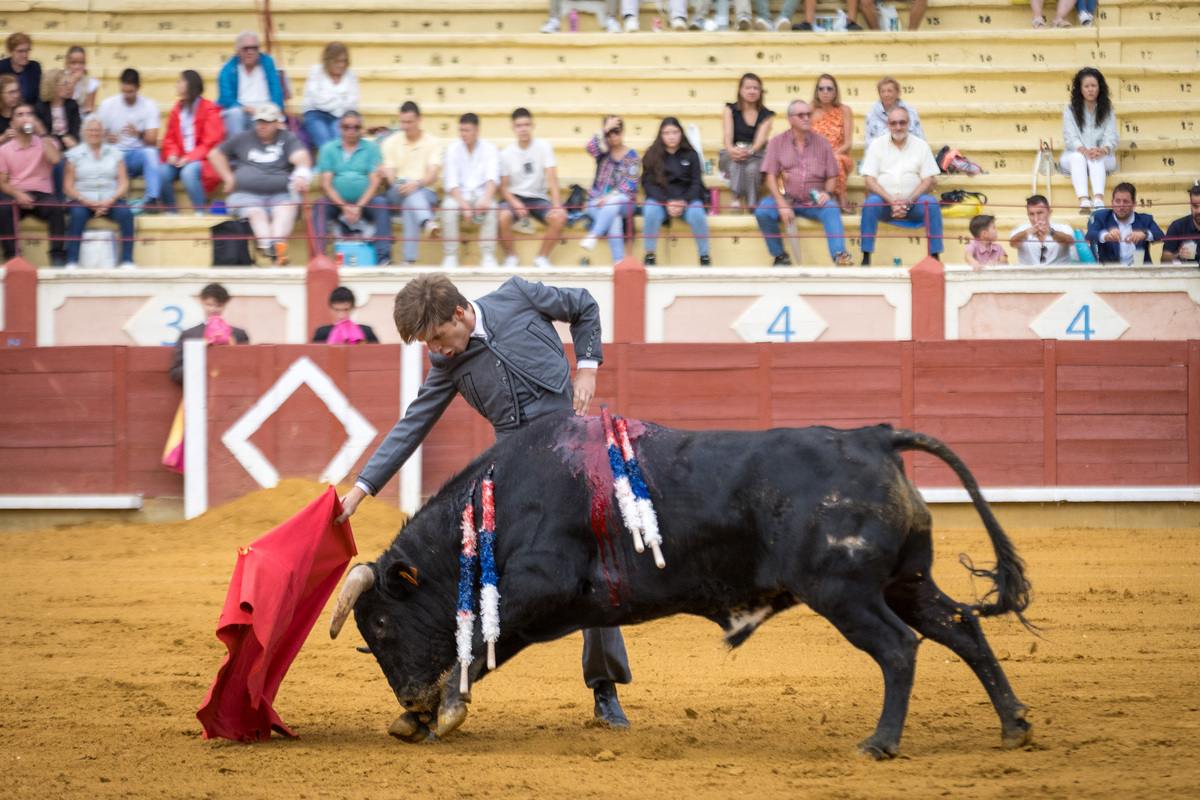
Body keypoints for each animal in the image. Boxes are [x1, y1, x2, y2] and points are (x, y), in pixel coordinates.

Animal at [328, 417, 1032, 762]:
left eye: (383, 626)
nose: (411, 701)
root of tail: (875, 436)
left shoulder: (538, 588)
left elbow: (476, 646)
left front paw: (440, 710)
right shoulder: (541, 608)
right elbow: (481, 649)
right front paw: (423, 716)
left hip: (845, 592)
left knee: (898, 648)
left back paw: (880, 743)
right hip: (906, 581)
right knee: (961, 627)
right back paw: (1015, 727)